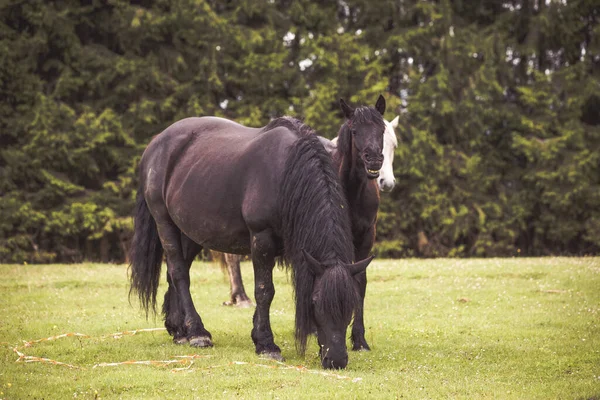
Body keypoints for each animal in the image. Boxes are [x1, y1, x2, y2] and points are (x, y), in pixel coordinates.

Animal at [129, 115, 372, 368]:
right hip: (165, 223)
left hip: (191, 232)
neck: (287, 172)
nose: (336, 360)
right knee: (179, 273)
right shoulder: (261, 239)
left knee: (175, 273)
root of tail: (157, 142)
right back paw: (197, 332)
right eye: (315, 303)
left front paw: (259, 335)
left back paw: (179, 330)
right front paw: (266, 344)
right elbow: (264, 291)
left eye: (351, 305)